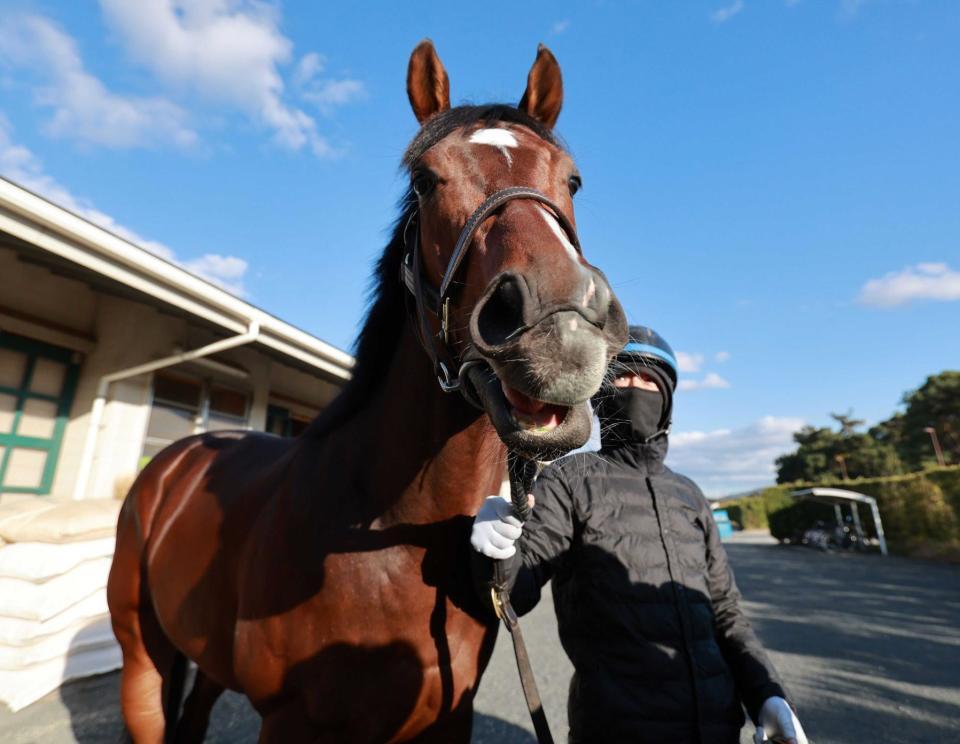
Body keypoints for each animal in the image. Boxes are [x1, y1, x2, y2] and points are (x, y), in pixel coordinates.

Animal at [109, 42, 628, 744]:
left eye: (571, 181)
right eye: (425, 181)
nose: (561, 324)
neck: (386, 541)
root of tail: (168, 465)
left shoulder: (449, 718)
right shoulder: (291, 723)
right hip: (144, 661)